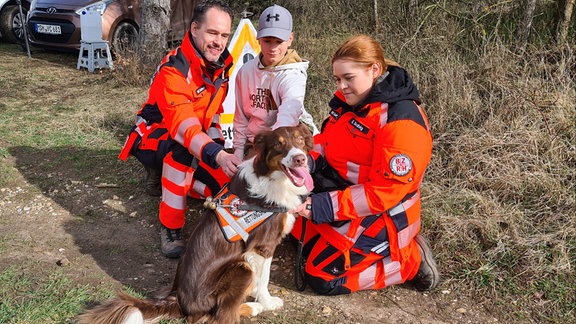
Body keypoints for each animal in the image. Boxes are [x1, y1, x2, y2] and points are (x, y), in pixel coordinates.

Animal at [78, 124, 312, 324]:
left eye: (300, 140)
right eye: (279, 145)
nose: (300, 159)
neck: (272, 177)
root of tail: (180, 302)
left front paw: (256, 294)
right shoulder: (264, 246)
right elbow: (264, 278)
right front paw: (267, 301)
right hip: (240, 268)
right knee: (219, 316)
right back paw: (253, 308)